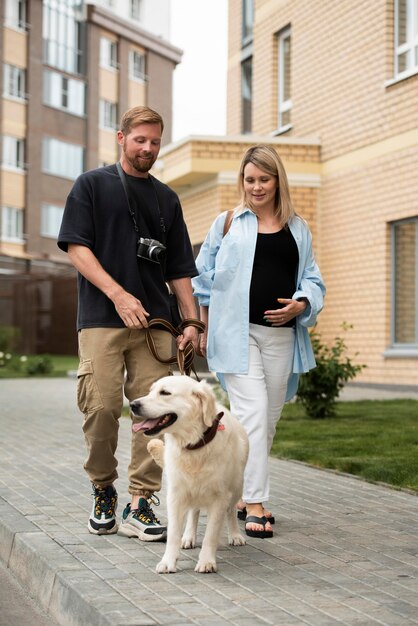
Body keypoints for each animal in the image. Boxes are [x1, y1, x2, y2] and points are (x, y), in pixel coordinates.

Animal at [131, 372, 248, 572]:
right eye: (151, 391)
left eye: (165, 393)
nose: (133, 404)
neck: (194, 445)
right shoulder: (176, 494)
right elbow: (173, 534)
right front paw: (168, 561)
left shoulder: (220, 497)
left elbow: (211, 535)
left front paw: (207, 562)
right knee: (194, 512)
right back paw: (188, 537)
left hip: (236, 486)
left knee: (231, 510)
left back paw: (235, 535)